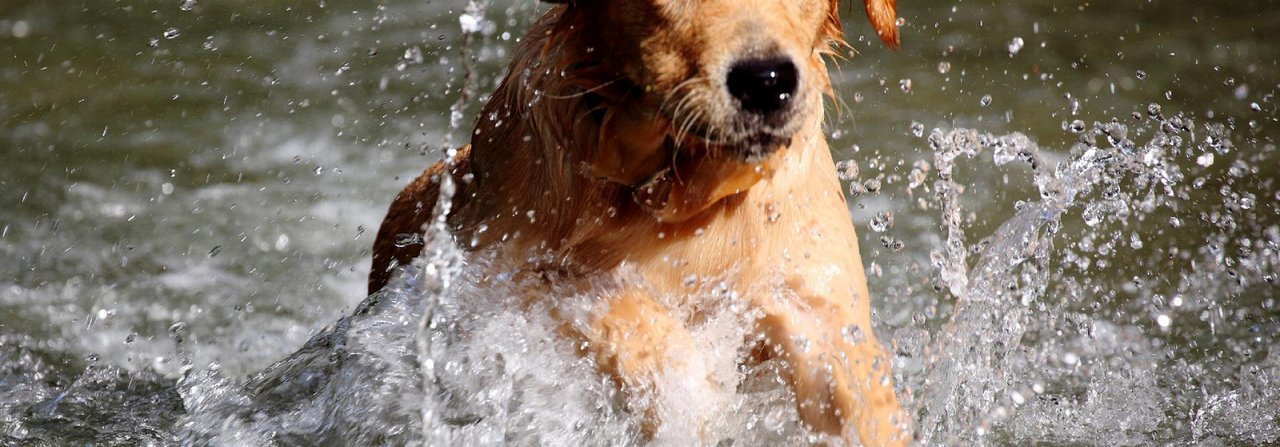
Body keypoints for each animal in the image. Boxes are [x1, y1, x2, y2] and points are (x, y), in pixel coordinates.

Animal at [371, 0, 911, 443]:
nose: (766, 82)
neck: (679, 202)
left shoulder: (817, 309)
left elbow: (860, 399)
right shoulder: (495, 281)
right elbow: (622, 311)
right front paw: (686, 392)